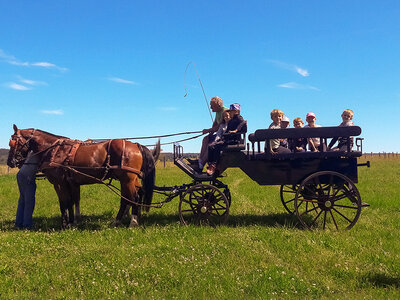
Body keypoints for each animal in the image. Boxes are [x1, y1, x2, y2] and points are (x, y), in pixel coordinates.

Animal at [6, 125, 159, 229]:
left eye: (12, 143)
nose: (10, 162)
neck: (54, 149)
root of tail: (136, 145)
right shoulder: (70, 182)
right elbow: (71, 202)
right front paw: (72, 222)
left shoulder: (59, 183)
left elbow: (64, 202)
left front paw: (64, 224)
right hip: (129, 180)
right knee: (129, 197)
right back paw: (119, 220)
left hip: (127, 179)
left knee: (134, 197)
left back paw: (133, 222)